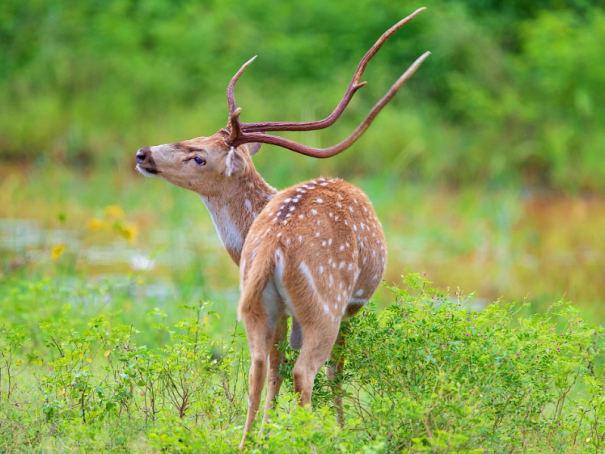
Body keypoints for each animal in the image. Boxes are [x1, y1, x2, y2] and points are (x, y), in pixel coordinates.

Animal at [134, 7, 428, 450]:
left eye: (199, 153)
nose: (142, 153)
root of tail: (273, 241)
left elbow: (276, 366)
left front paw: (269, 433)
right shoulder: (353, 305)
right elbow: (335, 371)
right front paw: (339, 430)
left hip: (260, 304)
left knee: (260, 364)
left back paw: (247, 441)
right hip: (325, 305)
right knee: (306, 370)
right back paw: (309, 437)